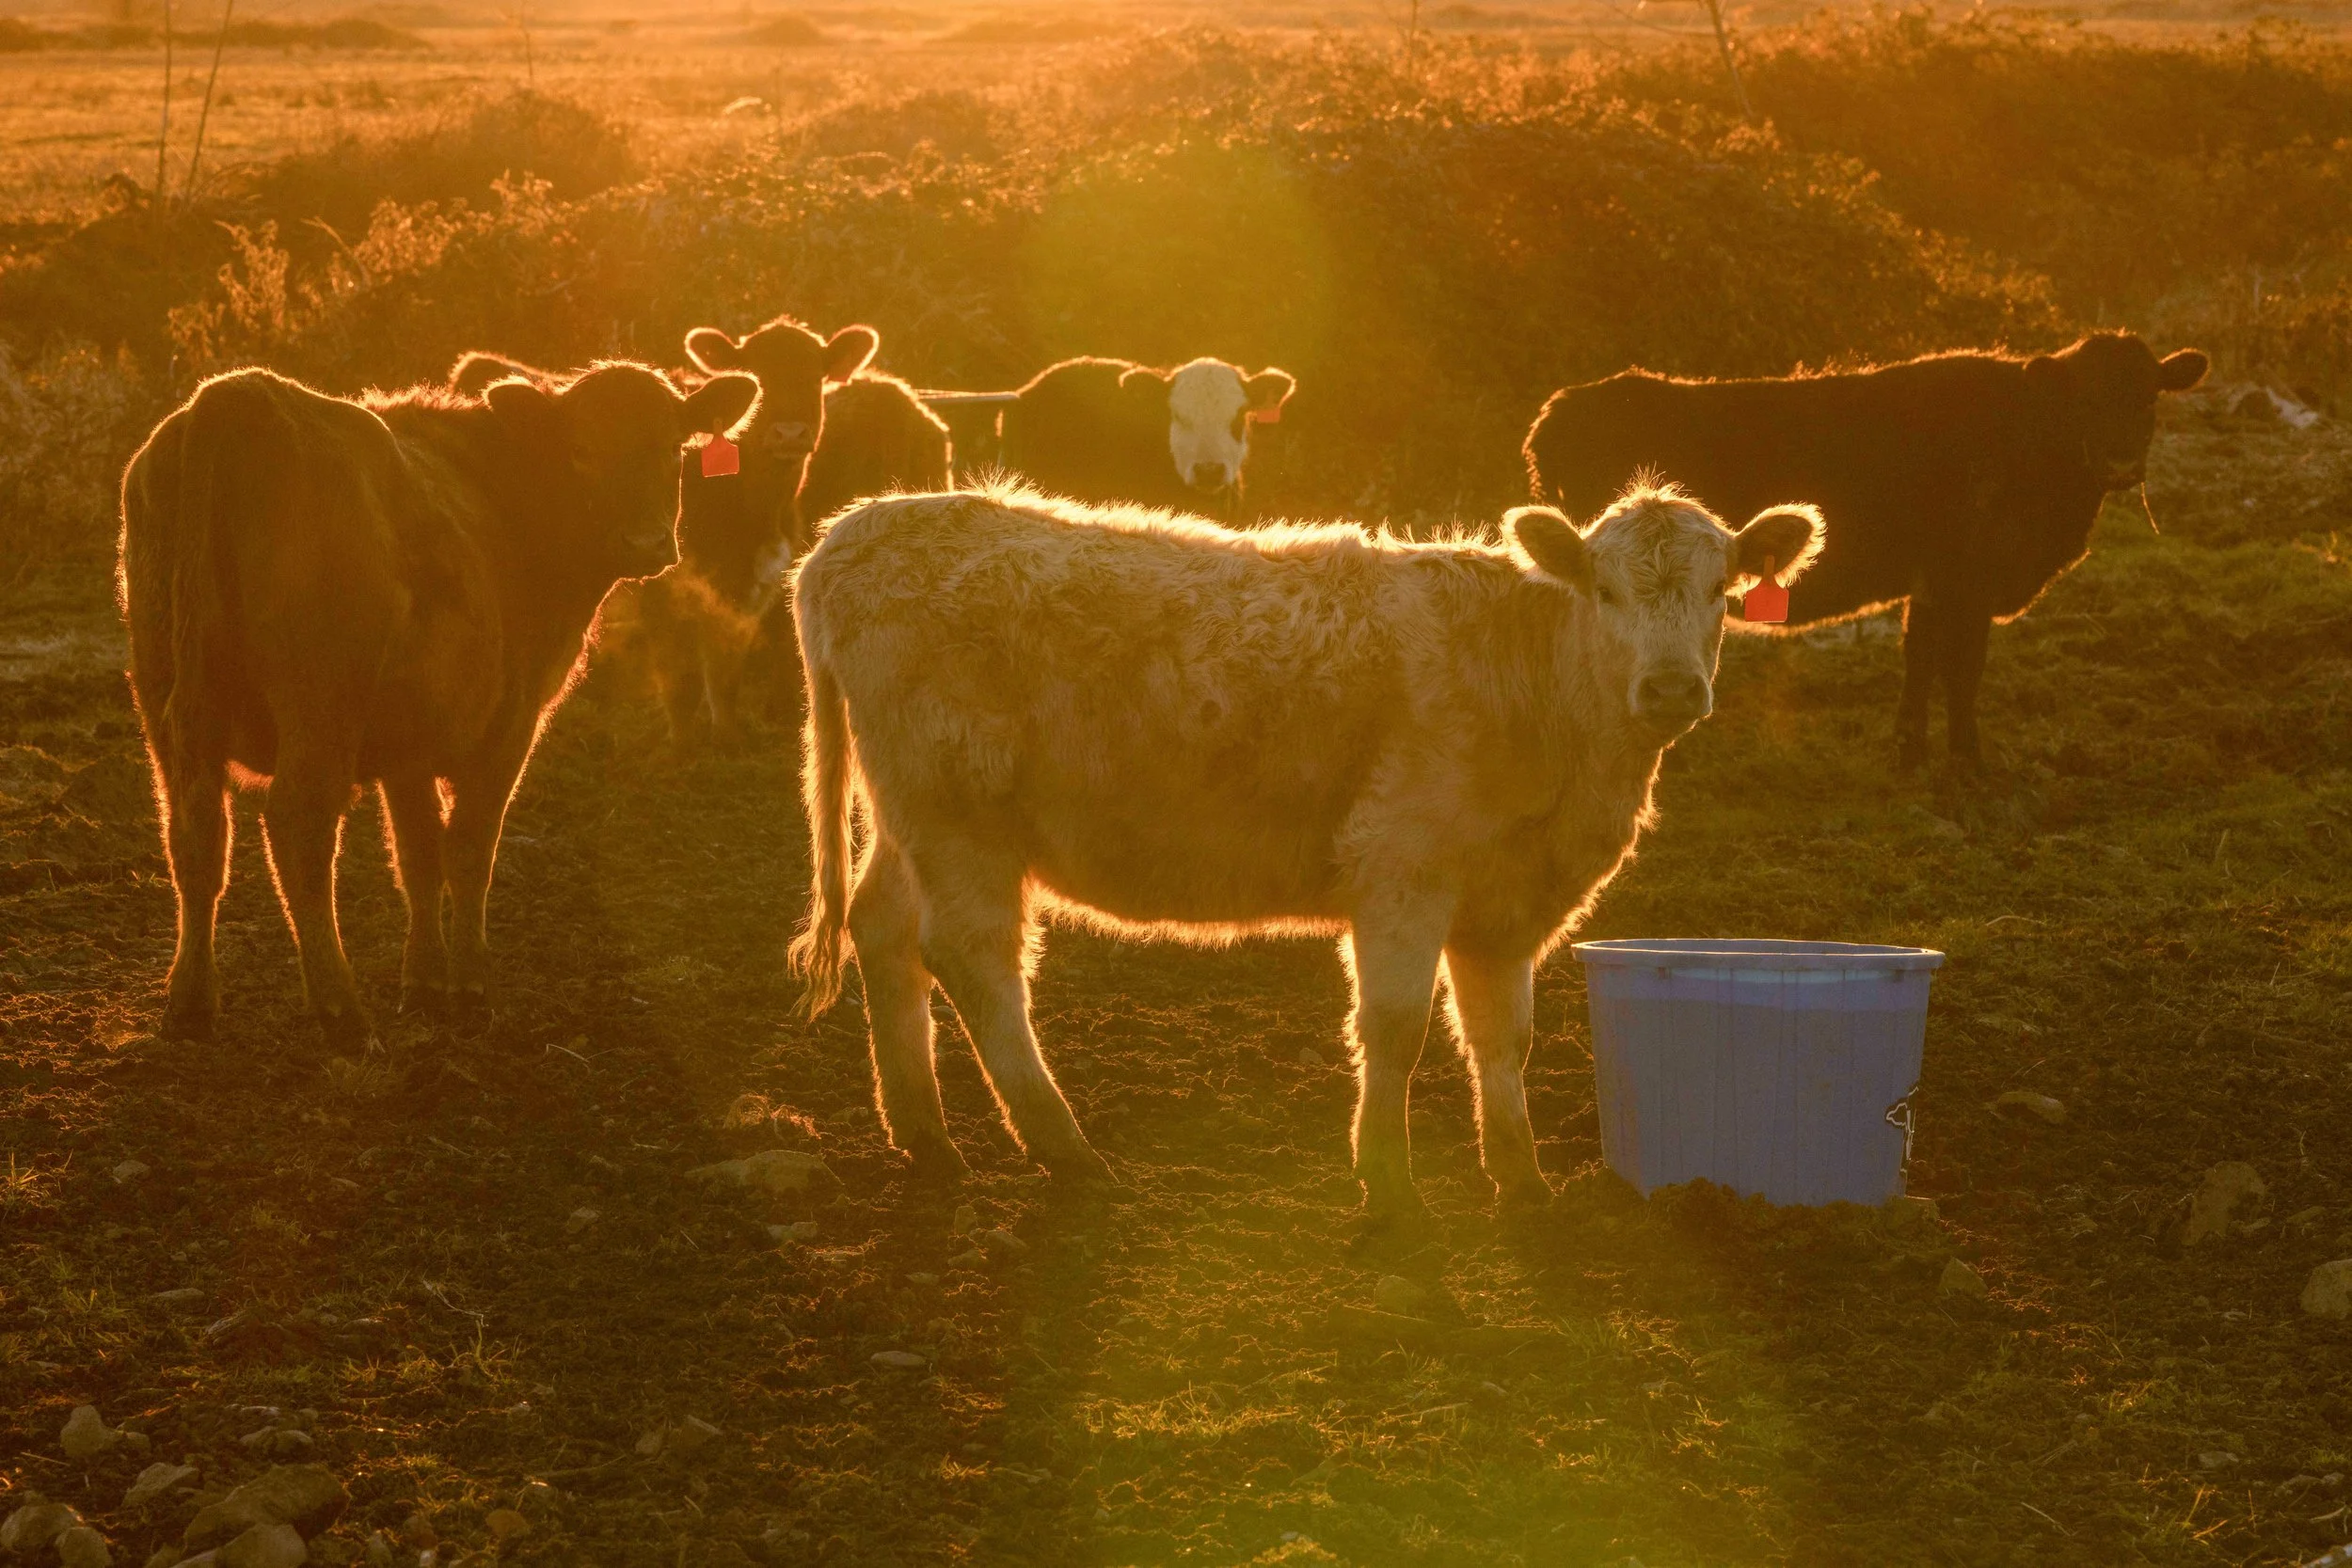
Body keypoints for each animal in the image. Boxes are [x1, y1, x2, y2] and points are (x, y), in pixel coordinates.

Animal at [119, 362, 759, 1041]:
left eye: (674, 448)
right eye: (581, 450)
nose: (645, 541)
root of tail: (240, 392)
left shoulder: (412, 743)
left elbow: (419, 855)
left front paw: (424, 982)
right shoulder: (509, 724)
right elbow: (470, 849)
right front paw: (470, 985)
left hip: (165, 701)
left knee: (196, 835)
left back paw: (191, 999)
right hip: (322, 701)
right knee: (299, 826)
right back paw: (339, 1007)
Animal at [786, 483, 1820, 1222]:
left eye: (1722, 592)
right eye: (1605, 592)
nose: (1670, 687)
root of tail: (858, 527)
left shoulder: (1503, 903)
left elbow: (1504, 1037)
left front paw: (1522, 1183)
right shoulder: (1403, 865)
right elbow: (1396, 1027)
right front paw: (1390, 1185)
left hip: (907, 820)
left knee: (885, 932)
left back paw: (926, 1135)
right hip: (960, 820)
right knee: (973, 961)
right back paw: (1065, 1148)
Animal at [1524, 331, 2208, 768]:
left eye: (2149, 395)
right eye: (2084, 400)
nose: (2120, 461)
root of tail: (1565, 405)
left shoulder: (1933, 585)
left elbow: (1922, 659)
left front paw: (1911, 750)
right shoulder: (1966, 582)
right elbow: (1962, 667)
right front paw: (1967, 758)